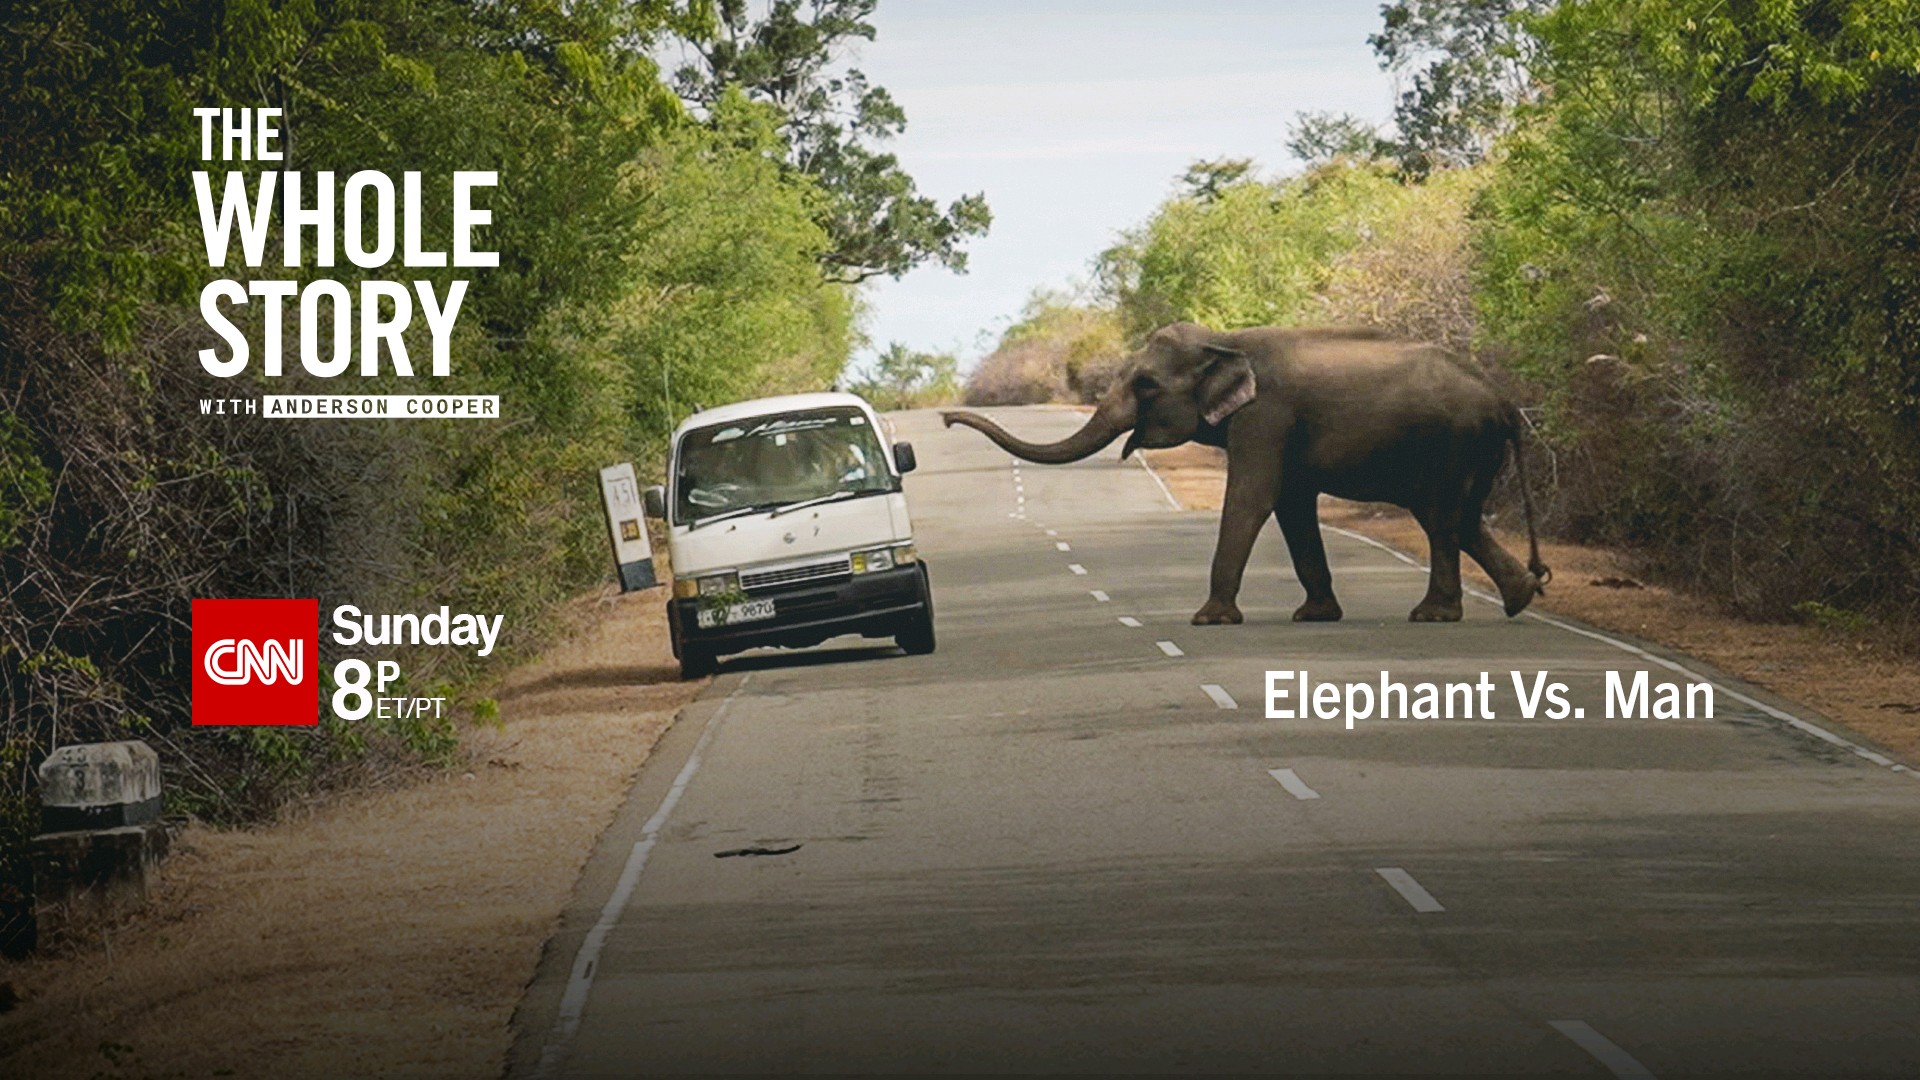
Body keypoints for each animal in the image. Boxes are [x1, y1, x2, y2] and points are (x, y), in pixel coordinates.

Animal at [941, 322, 1550, 625]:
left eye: (1145, 386)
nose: (946, 418)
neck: (1228, 340)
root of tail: (1502, 400)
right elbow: (1290, 506)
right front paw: (1314, 616)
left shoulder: (1267, 416)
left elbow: (1252, 499)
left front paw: (1208, 621)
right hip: (1471, 447)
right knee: (1458, 517)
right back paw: (1518, 598)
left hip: (1455, 441)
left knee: (1441, 517)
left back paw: (1434, 616)